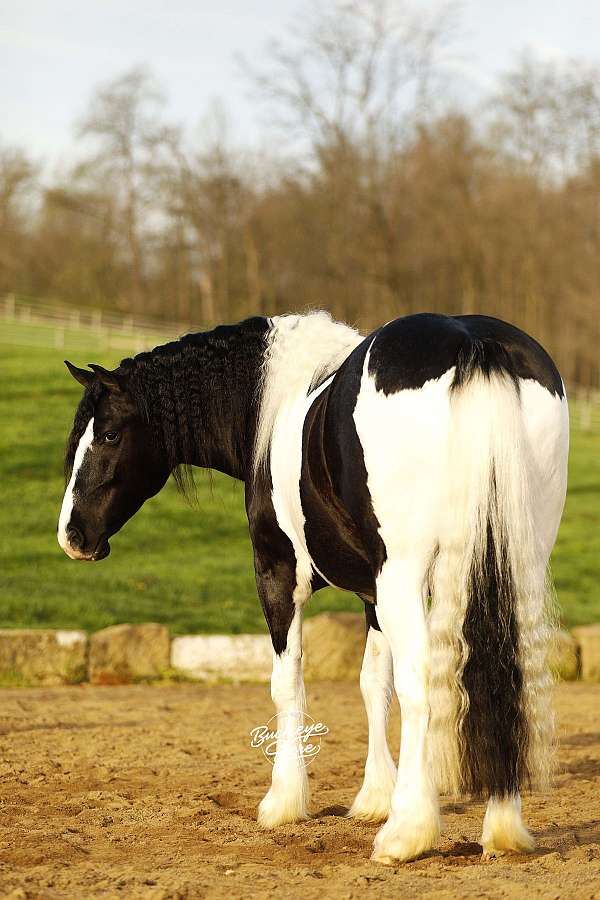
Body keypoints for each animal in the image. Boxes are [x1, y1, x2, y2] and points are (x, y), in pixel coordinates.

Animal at [58, 311, 569, 864]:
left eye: (109, 434)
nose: (72, 535)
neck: (274, 405)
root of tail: (472, 342)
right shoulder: (373, 595)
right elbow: (372, 683)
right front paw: (373, 797)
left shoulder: (279, 574)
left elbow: (289, 684)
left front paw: (284, 801)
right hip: (515, 564)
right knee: (513, 676)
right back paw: (502, 826)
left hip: (410, 575)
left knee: (423, 688)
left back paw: (406, 833)